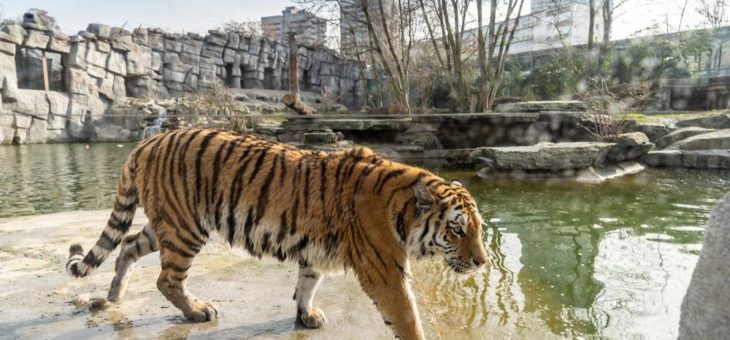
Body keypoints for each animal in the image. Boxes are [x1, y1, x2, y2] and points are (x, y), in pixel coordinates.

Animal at [65, 128, 486, 340]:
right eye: (456, 230)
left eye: (479, 230)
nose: (483, 262)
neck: (401, 210)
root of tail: (146, 141)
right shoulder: (384, 271)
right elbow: (407, 318)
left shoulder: (315, 251)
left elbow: (308, 283)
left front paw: (306, 315)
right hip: (185, 227)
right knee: (166, 279)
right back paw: (198, 310)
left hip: (168, 223)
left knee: (126, 246)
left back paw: (114, 295)